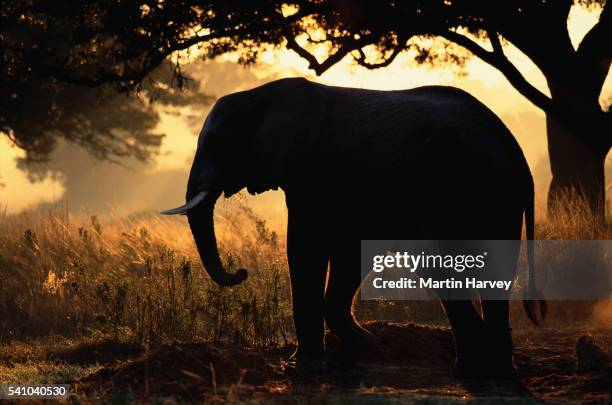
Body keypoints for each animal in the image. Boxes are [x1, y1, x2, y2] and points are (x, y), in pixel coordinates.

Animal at [163, 77, 544, 378]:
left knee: (438, 261)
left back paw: (473, 369)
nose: (240, 272)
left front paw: (302, 368)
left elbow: (306, 246)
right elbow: (349, 252)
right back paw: (495, 371)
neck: (260, 94)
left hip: (455, 183)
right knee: (496, 267)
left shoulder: (311, 170)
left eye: (215, 144)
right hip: (496, 193)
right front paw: (361, 349)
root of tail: (516, 153)